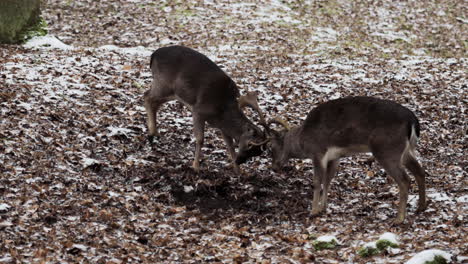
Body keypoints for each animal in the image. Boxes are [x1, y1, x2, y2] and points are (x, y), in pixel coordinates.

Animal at [143, 45, 266, 173]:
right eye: (250, 145)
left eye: (257, 153)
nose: (240, 161)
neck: (222, 112)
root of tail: (153, 55)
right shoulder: (198, 111)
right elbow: (200, 139)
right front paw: (196, 167)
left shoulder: (222, 126)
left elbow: (230, 145)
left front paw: (239, 171)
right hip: (163, 83)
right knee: (147, 97)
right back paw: (151, 134)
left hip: (171, 92)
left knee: (153, 102)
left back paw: (154, 134)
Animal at [266, 96, 426, 224]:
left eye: (271, 147)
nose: (274, 167)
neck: (303, 141)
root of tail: (413, 122)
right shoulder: (334, 156)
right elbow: (328, 180)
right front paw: (323, 207)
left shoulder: (318, 152)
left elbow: (317, 182)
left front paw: (313, 211)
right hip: (405, 151)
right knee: (420, 171)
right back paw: (421, 207)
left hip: (387, 150)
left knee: (404, 179)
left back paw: (399, 219)